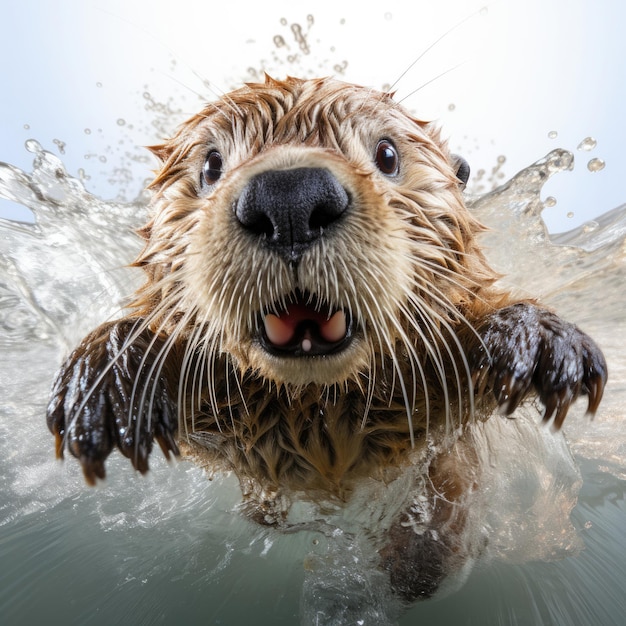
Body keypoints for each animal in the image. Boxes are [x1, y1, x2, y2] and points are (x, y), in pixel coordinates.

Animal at [47, 75, 604, 596]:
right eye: (210, 165)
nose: (289, 198)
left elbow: (454, 465)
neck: (318, 415)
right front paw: (101, 389)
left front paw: (540, 345)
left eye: (387, 154)